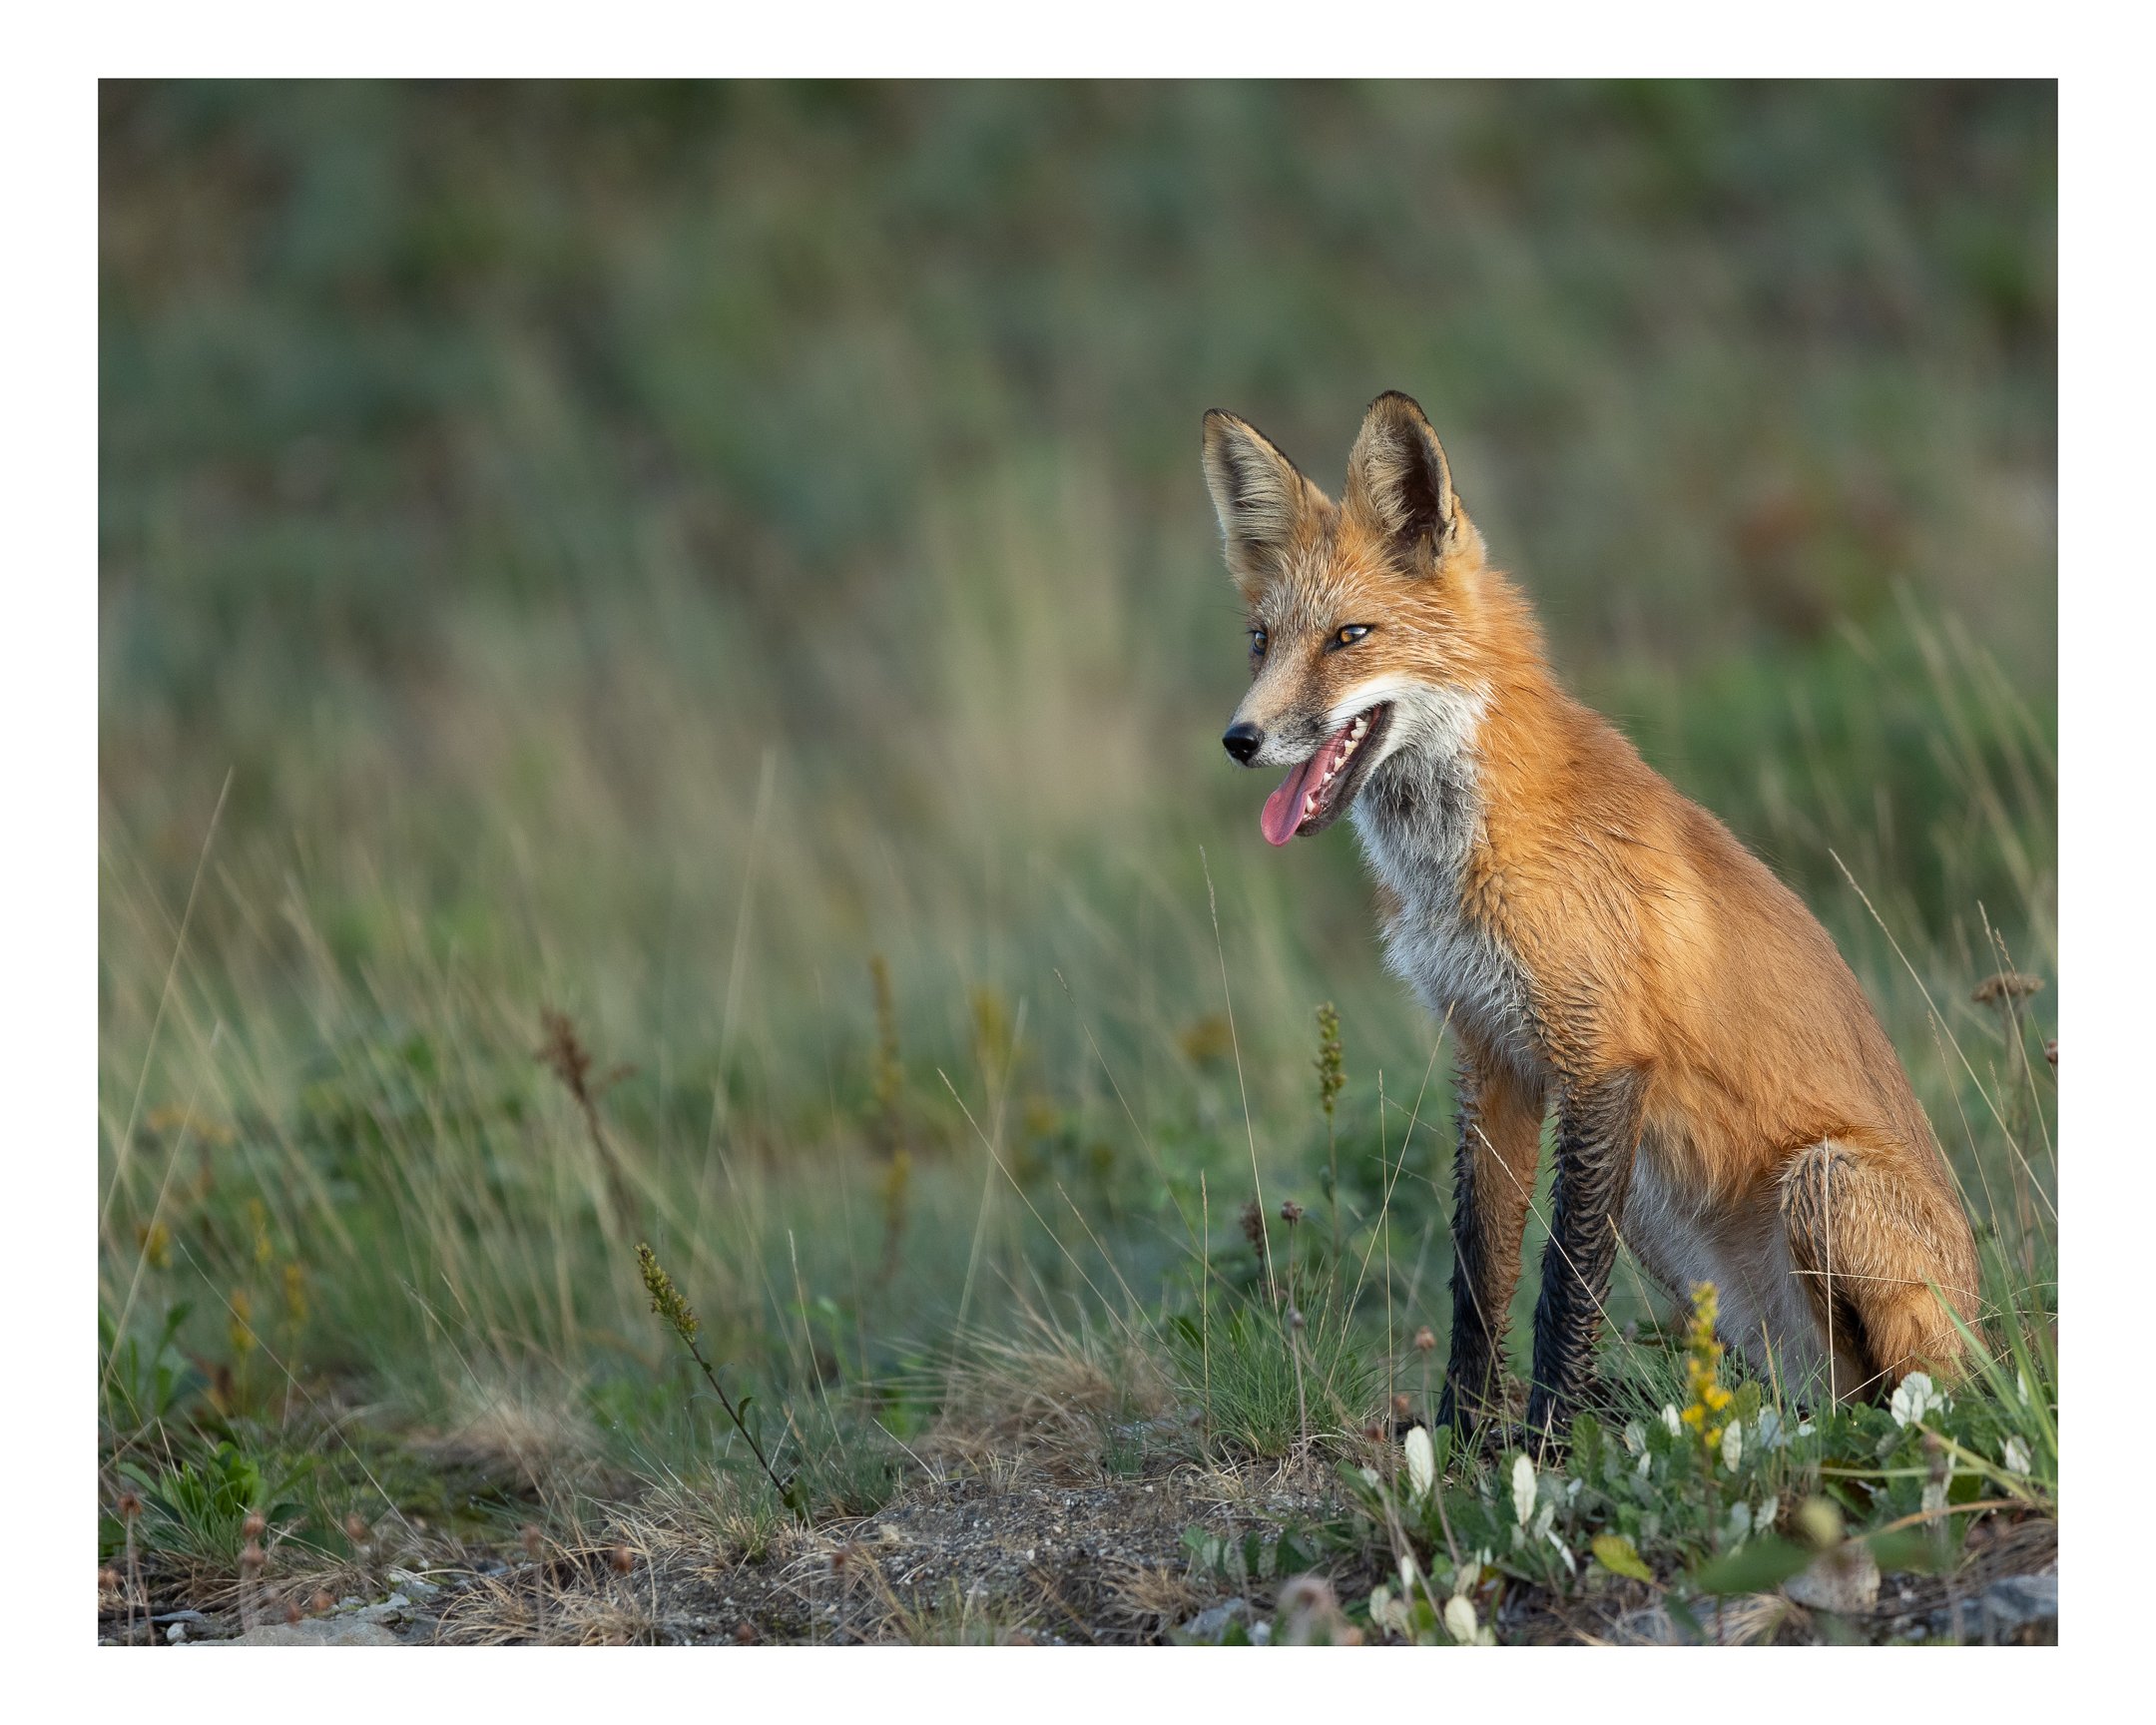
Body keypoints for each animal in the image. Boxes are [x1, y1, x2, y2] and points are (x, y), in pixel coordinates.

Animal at [1202, 391, 1981, 1441]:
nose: (1241, 740)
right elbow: (1481, 1275)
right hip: (1670, 1224)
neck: (1465, 862)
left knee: (1905, 1399)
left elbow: (1564, 1288)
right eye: (1260, 640)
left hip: (1817, 1184)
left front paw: (1549, 1447)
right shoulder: (1490, 1055)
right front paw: (1464, 1440)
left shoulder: (1602, 1058)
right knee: (1820, 1391)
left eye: (1350, 637)